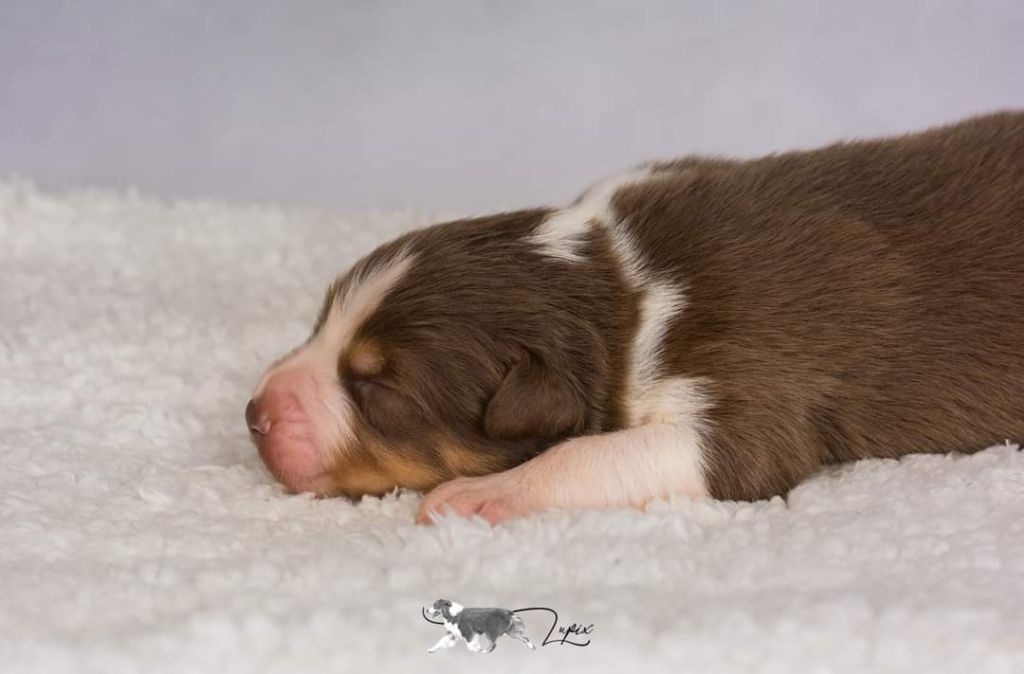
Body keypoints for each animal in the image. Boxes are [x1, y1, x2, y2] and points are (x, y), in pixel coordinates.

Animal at [246, 111, 1024, 524]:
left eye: (375, 387)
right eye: (319, 325)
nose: (254, 415)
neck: (622, 283)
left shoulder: (743, 377)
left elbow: (603, 453)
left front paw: (482, 494)